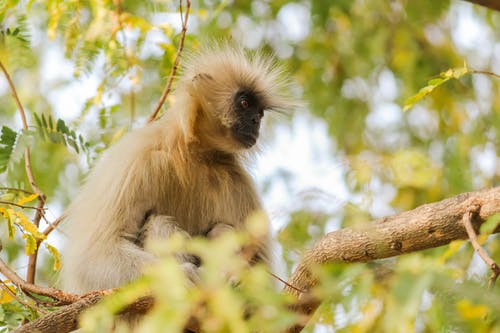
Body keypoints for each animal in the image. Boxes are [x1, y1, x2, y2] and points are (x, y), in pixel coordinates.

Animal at [61, 44, 292, 294]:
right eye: (245, 104)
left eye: (260, 113)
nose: (255, 121)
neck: (196, 154)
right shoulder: (137, 159)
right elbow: (94, 258)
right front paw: (183, 277)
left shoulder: (238, 181)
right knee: (159, 222)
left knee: (221, 230)